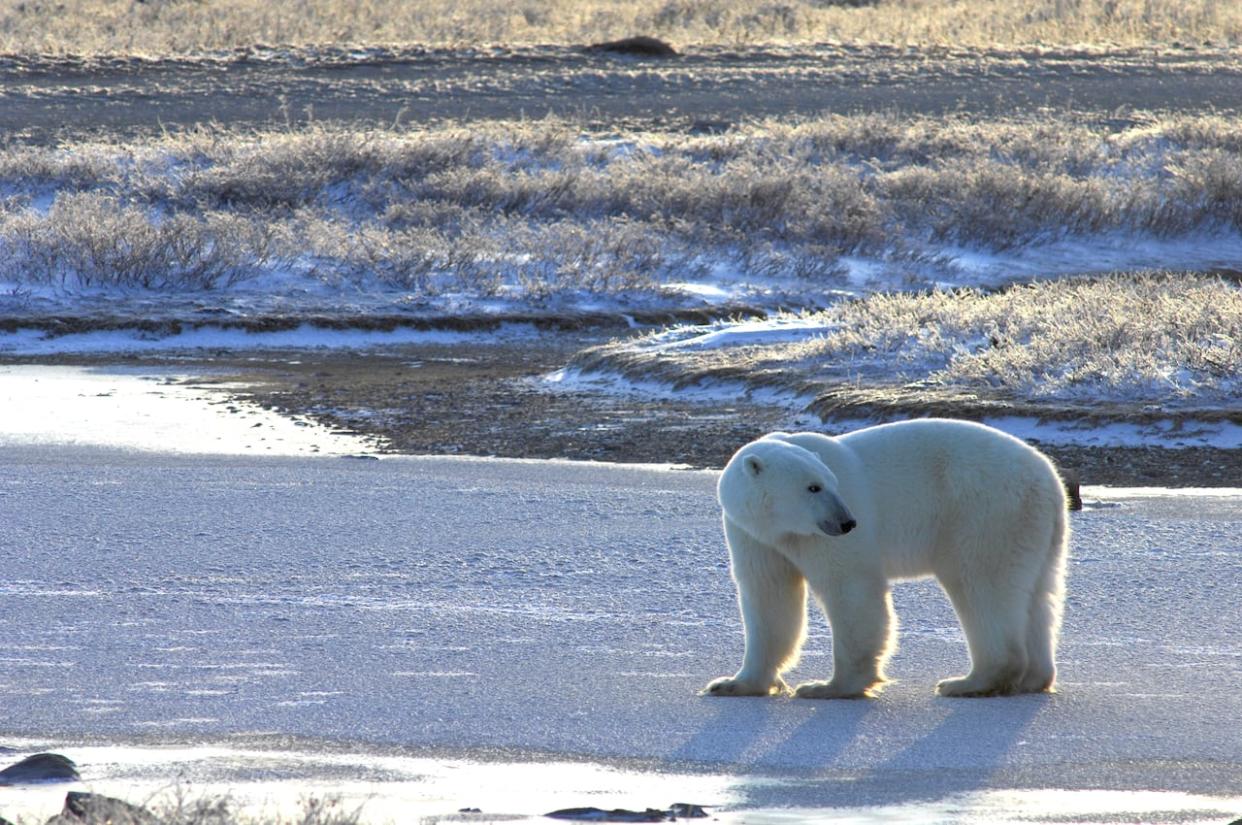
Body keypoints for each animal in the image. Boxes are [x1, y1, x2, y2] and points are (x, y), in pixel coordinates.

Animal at [710, 419, 1068, 695]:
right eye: (813, 487)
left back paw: (969, 682)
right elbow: (769, 597)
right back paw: (1033, 678)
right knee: (1039, 596)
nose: (847, 522)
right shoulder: (754, 536)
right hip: (1035, 528)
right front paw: (734, 684)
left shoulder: (821, 539)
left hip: (984, 511)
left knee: (981, 585)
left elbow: (850, 588)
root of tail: (1049, 477)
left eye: (832, 483)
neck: (780, 527)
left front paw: (830, 686)